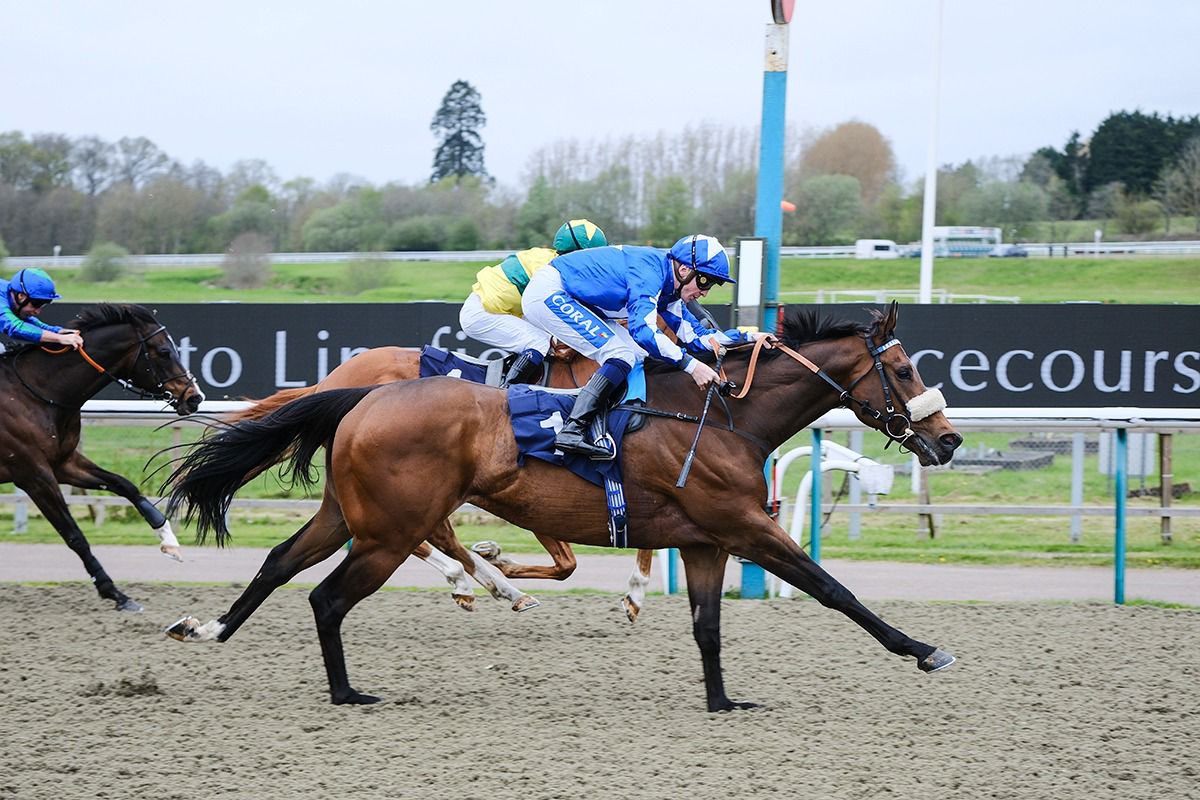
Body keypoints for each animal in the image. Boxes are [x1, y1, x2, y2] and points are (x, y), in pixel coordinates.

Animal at [0, 307, 204, 614]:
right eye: (164, 351)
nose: (194, 398)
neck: (35, 394)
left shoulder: (63, 463)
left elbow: (125, 485)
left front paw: (169, 540)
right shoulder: (33, 474)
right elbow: (74, 535)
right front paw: (115, 592)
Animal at [166, 303, 964, 710]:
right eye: (902, 369)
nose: (949, 439)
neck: (721, 414)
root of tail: (360, 393)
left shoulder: (706, 539)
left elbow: (706, 627)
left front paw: (722, 702)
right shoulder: (744, 526)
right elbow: (834, 589)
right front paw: (925, 650)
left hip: (350, 515)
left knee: (280, 563)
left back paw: (209, 628)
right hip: (388, 531)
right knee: (329, 597)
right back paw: (351, 687)